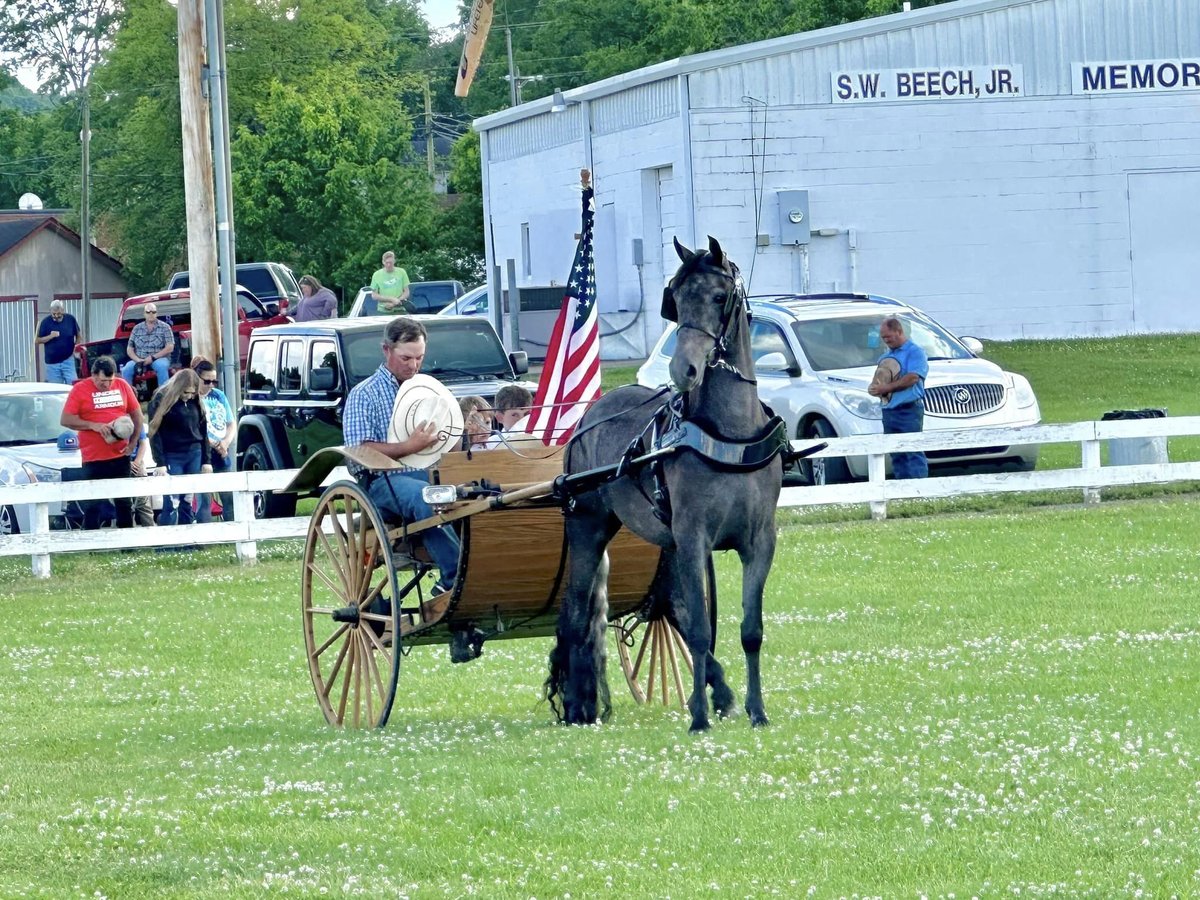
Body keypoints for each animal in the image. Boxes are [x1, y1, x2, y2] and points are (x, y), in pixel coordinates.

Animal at [549, 234, 787, 734]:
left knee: (670, 608)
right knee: (577, 613)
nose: (683, 371)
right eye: (674, 299)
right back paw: (579, 706)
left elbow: (750, 630)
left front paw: (756, 710)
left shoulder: (760, 541)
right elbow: (697, 630)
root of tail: (588, 416)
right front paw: (698, 716)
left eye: (719, 297)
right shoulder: (694, 538)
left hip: (666, 544)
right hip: (589, 527)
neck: (729, 435)